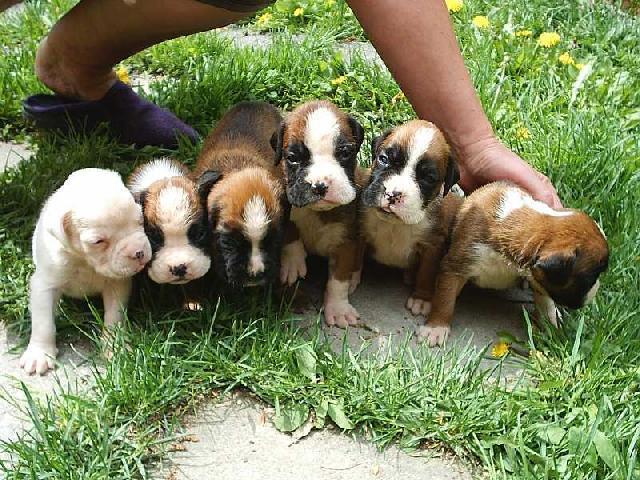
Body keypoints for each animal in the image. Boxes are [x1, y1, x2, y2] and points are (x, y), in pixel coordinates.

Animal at [20, 169, 151, 376]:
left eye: (140, 220)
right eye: (98, 241)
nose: (139, 253)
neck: (85, 262)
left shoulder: (117, 285)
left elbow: (114, 317)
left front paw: (116, 347)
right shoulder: (45, 285)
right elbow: (43, 322)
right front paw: (39, 353)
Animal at [272, 100, 364, 328]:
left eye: (345, 153)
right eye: (292, 158)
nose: (320, 185)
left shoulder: (345, 245)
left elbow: (338, 281)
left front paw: (338, 309)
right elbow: (290, 229)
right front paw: (293, 261)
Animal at [360, 118, 460, 316]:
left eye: (428, 178)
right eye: (383, 159)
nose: (393, 194)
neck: (395, 224)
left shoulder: (432, 247)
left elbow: (426, 273)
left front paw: (421, 298)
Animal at [420, 183, 608, 344]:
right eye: (590, 278)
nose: (596, 291)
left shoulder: (535, 277)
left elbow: (545, 300)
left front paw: (550, 323)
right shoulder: (456, 266)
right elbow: (445, 298)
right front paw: (436, 327)